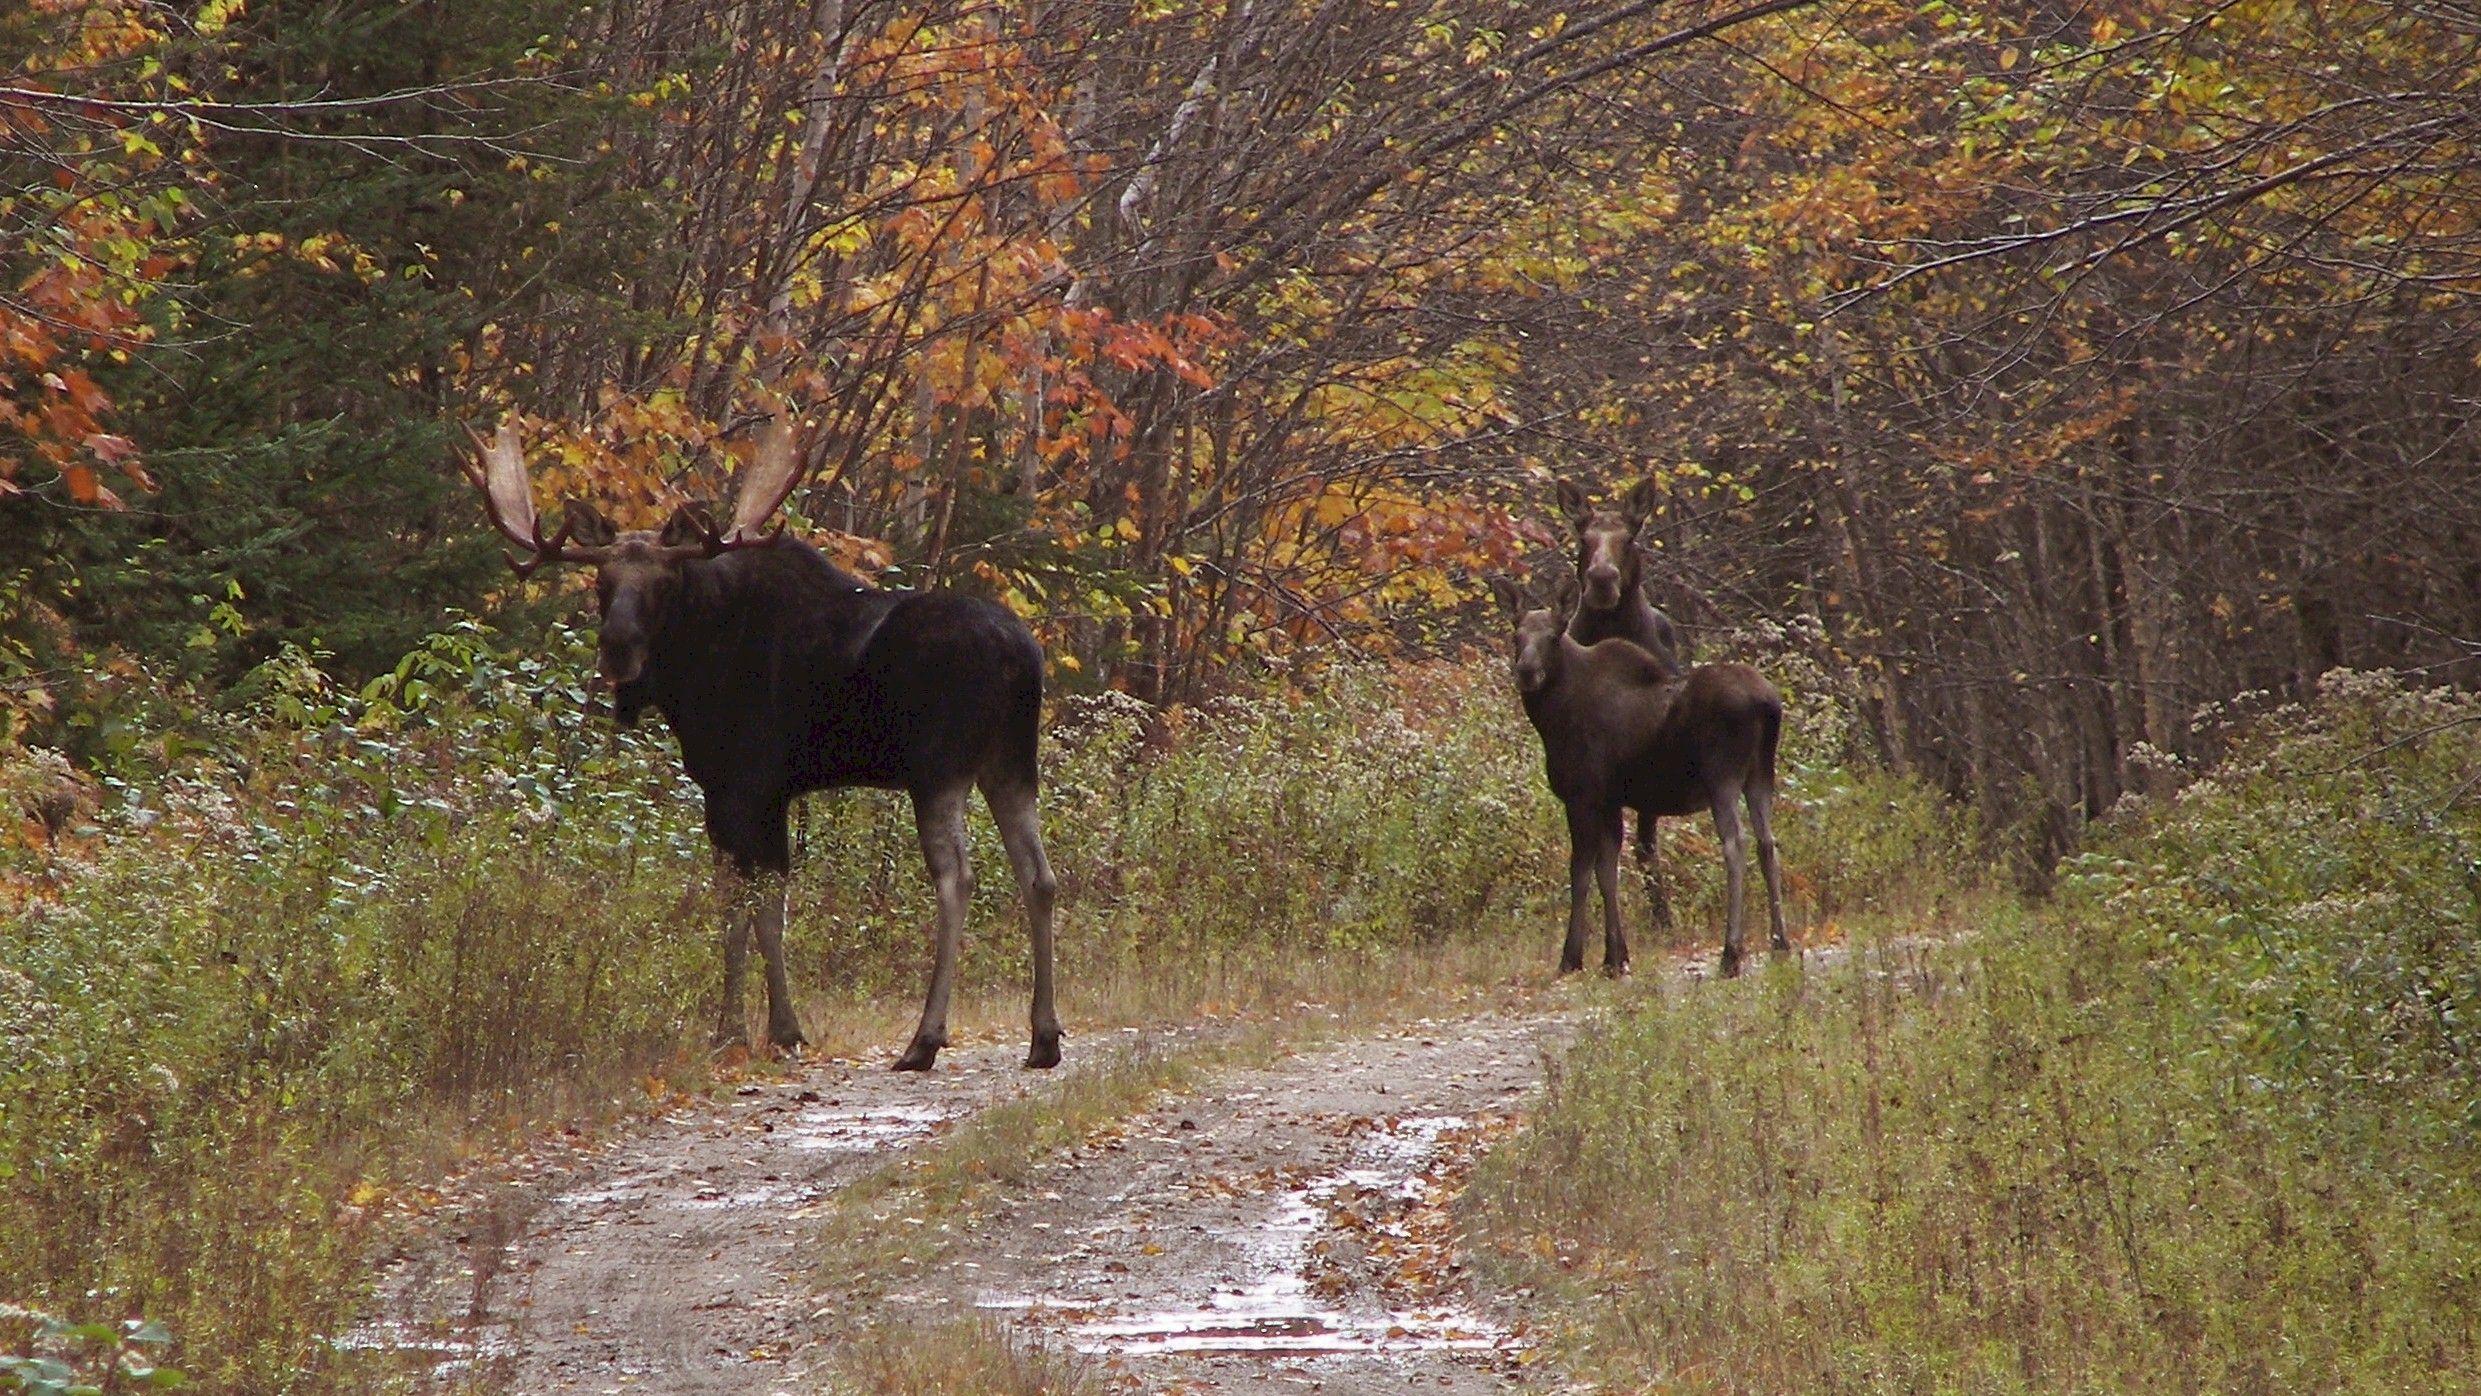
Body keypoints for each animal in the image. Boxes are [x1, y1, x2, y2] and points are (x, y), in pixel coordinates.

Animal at [466, 411, 1056, 1071]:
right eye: (602, 582)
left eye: (663, 584)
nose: (616, 647)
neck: (691, 675)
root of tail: (1021, 657)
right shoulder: (769, 793)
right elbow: (765, 905)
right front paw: (768, 1026)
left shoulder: (738, 786)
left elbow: (743, 905)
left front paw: (752, 1030)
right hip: (1010, 763)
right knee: (1040, 876)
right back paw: (1044, 1037)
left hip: (939, 768)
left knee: (957, 879)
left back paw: (924, 1039)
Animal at [1488, 572, 1786, 976]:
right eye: (1516, 636)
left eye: (1552, 635)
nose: (1526, 671)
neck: (1552, 720)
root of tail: (1768, 704)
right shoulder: (1610, 800)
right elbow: (1607, 870)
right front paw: (1615, 956)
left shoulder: (1582, 795)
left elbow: (1580, 872)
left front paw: (1572, 957)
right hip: (1761, 773)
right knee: (1767, 842)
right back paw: (1780, 944)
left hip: (1721, 775)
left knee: (1735, 843)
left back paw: (1731, 954)